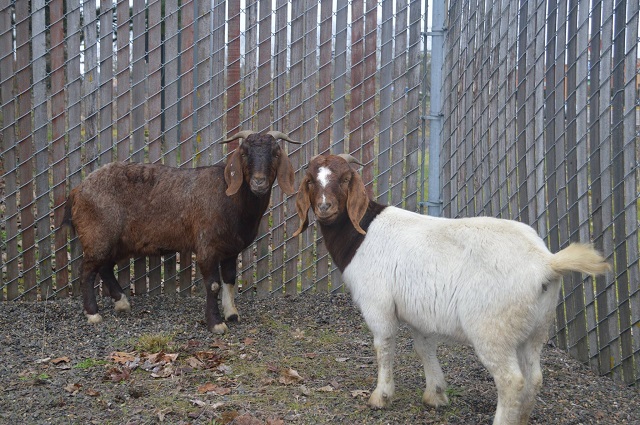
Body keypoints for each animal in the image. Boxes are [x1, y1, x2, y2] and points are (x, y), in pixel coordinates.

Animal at [63, 130, 300, 334]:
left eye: (275, 153)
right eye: (243, 153)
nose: (259, 182)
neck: (230, 197)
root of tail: (77, 190)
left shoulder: (231, 250)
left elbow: (230, 279)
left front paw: (232, 314)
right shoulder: (206, 247)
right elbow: (213, 285)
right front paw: (216, 324)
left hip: (119, 241)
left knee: (104, 267)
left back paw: (122, 303)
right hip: (98, 235)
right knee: (87, 270)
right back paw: (93, 314)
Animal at [293, 154, 610, 425]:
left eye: (346, 179)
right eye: (310, 181)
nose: (325, 208)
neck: (362, 233)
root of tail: (546, 262)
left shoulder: (377, 304)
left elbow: (383, 346)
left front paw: (380, 397)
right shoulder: (419, 313)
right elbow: (424, 347)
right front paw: (435, 395)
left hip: (492, 328)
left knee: (511, 380)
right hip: (534, 328)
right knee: (534, 377)